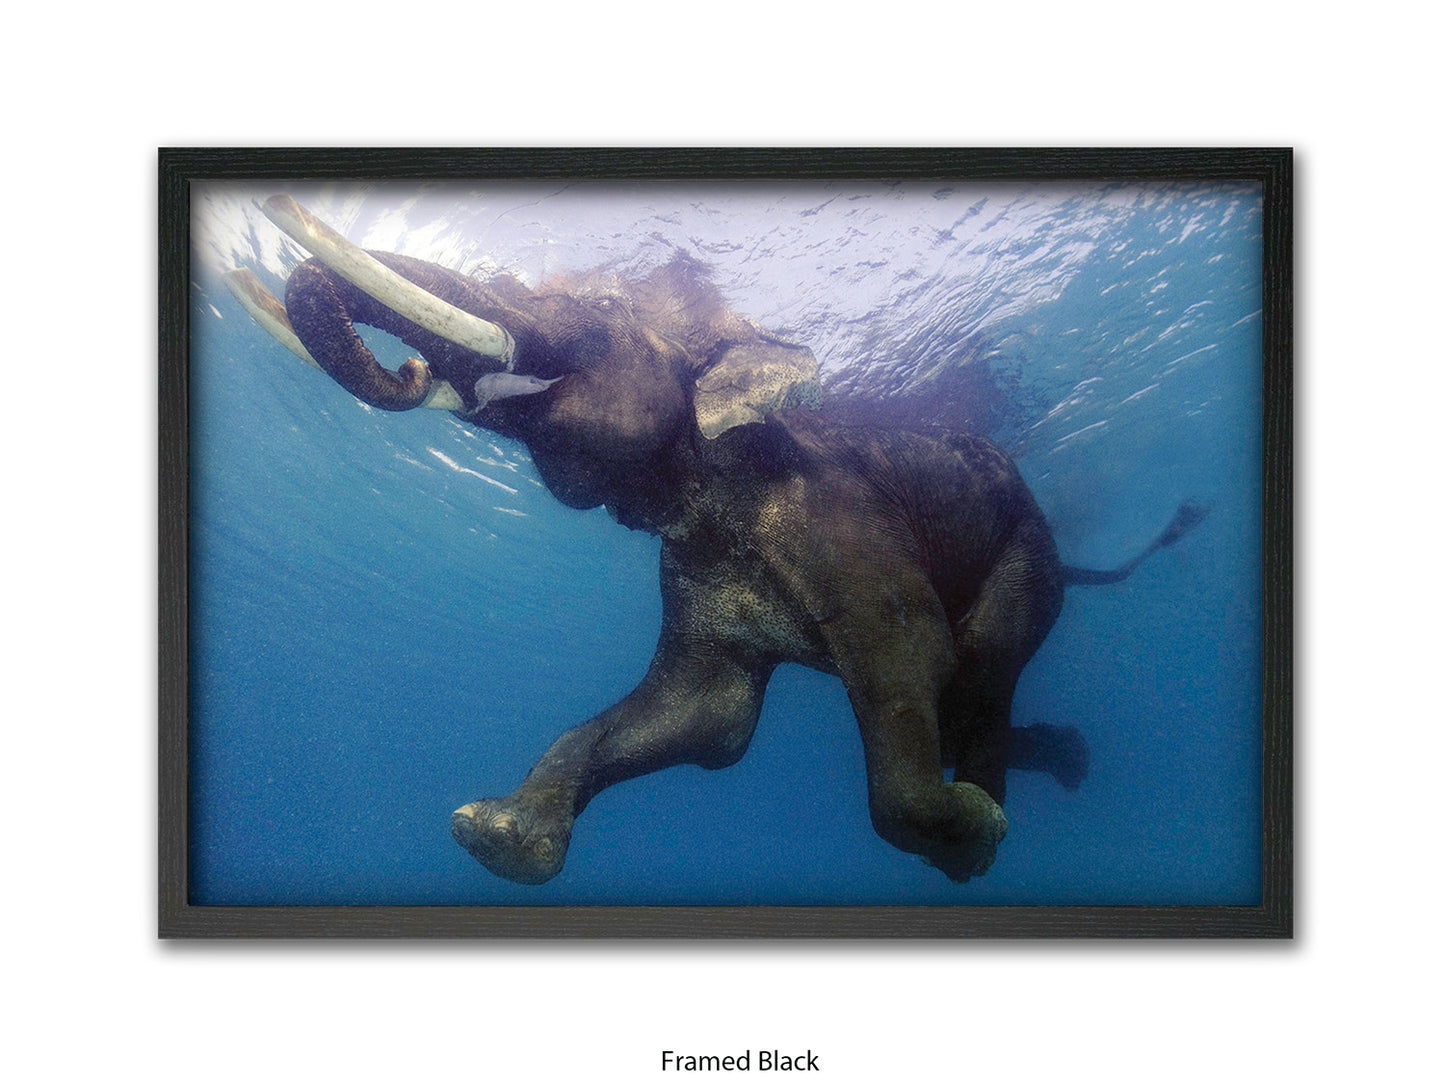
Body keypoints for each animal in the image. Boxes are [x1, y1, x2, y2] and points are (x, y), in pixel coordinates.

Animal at [272, 239, 1205, 886]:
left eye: (602, 306)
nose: (413, 364)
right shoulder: (690, 568)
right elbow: (707, 715)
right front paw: (491, 834)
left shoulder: (841, 520)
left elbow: (909, 655)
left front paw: (972, 836)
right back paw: (1057, 763)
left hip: (1027, 554)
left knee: (979, 665)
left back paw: (995, 809)